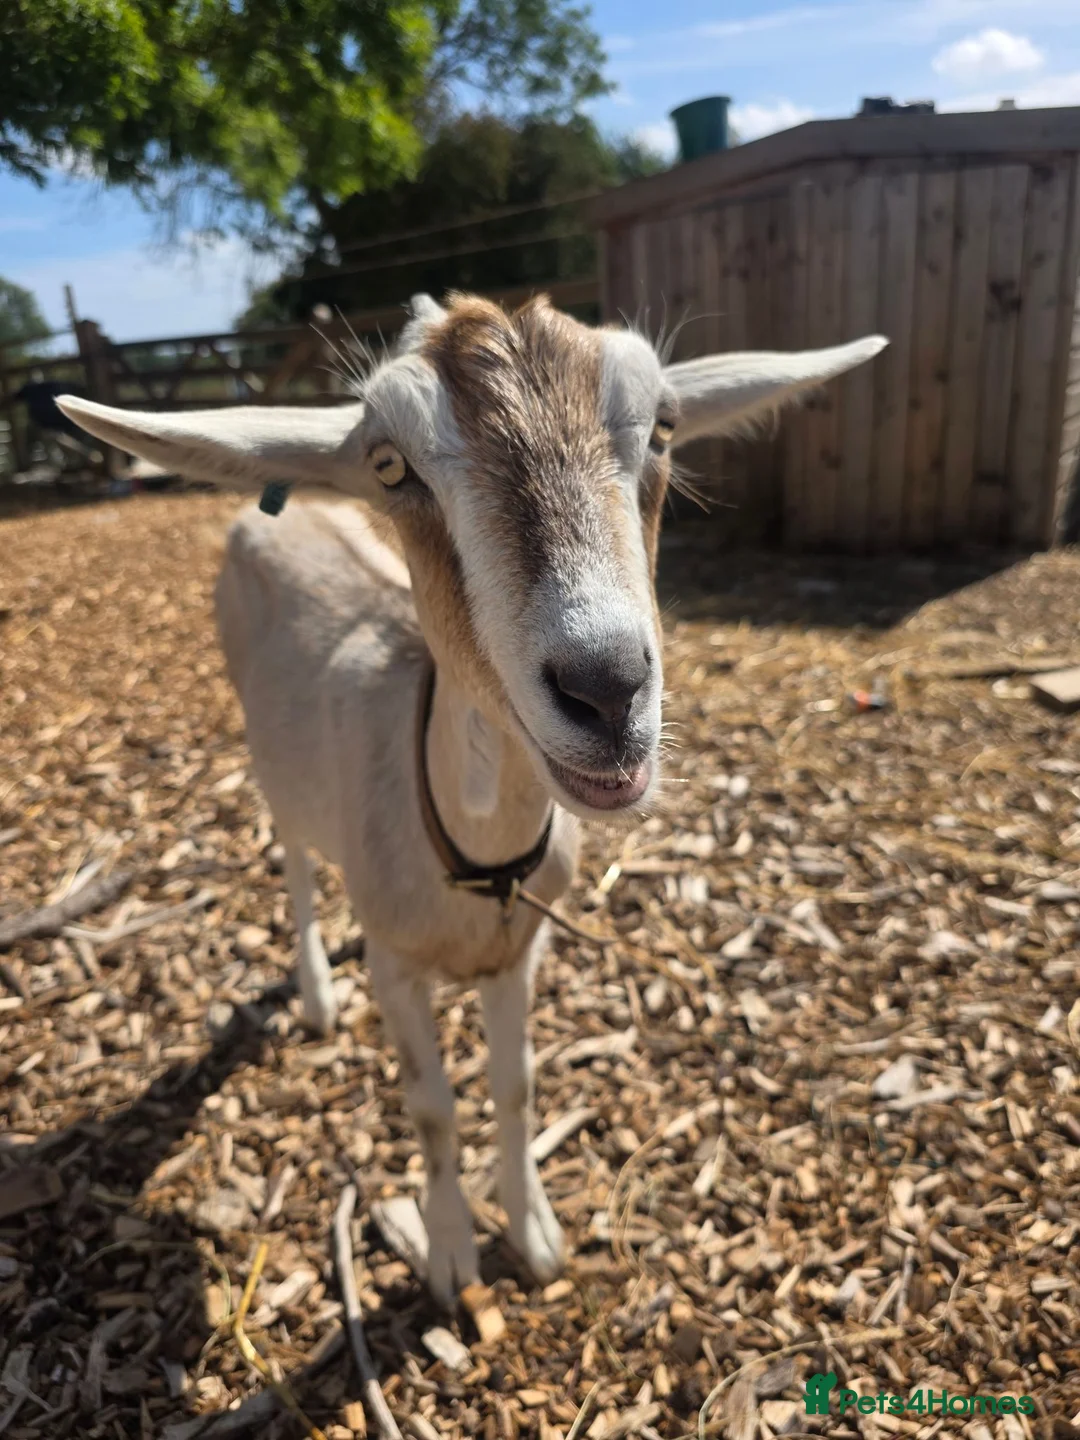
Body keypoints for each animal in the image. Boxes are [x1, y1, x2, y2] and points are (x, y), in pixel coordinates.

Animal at [58, 293, 885, 1303]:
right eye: (388, 461)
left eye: (664, 426)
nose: (606, 689)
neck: (468, 851)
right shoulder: (397, 967)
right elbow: (431, 1105)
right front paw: (449, 1254)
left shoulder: (516, 954)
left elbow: (513, 1086)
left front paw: (533, 1237)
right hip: (265, 756)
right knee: (293, 857)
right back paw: (316, 991)